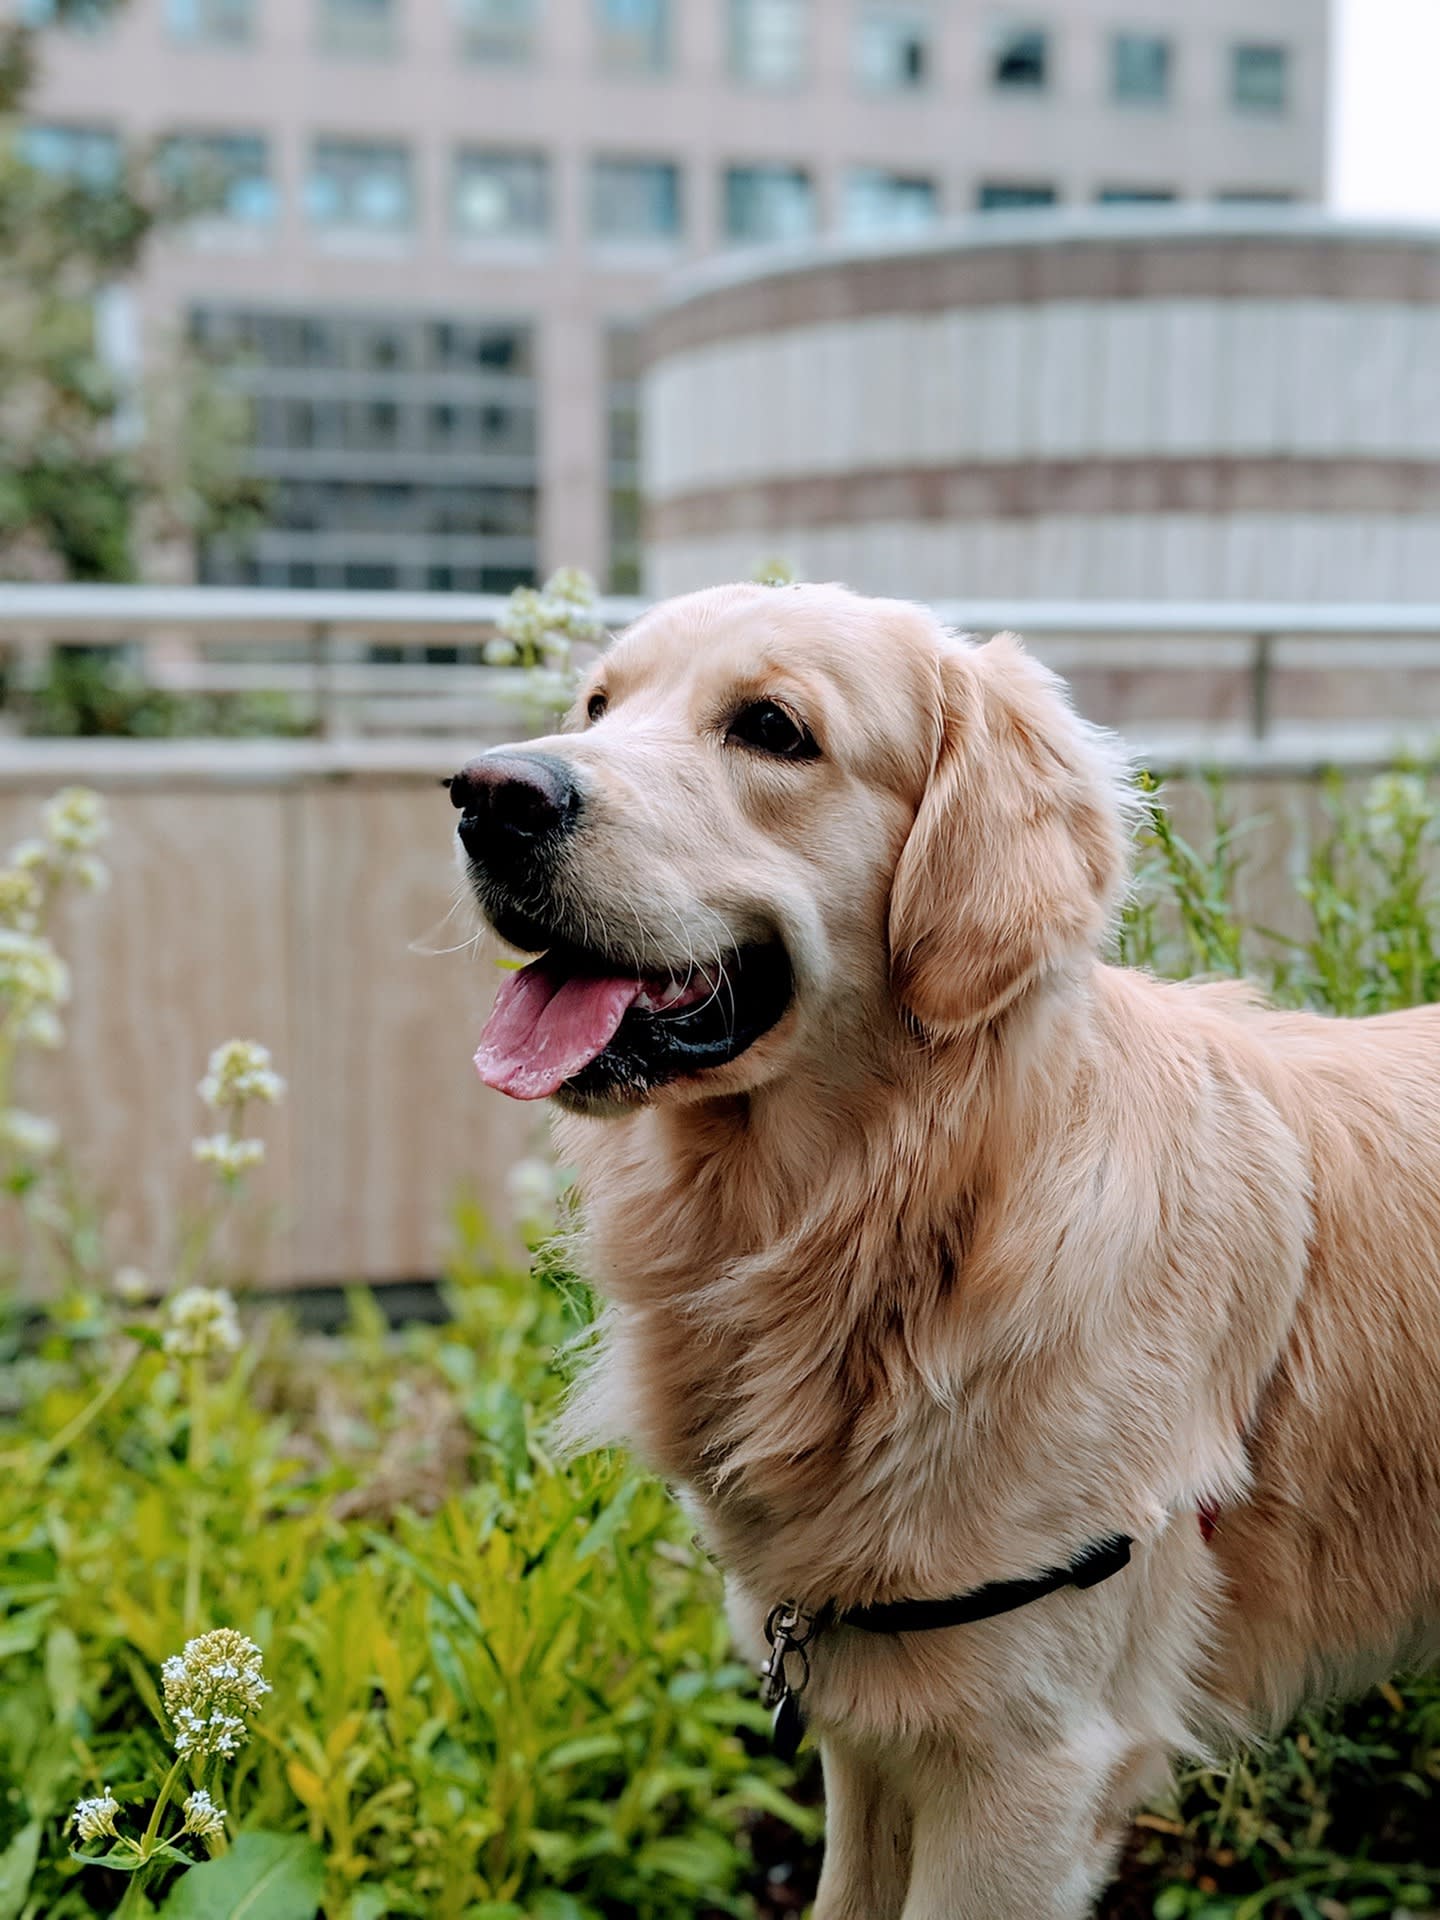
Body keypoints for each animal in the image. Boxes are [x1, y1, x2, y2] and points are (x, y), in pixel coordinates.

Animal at [449, 583, 1440, 1920]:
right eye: (597, 705)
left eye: (773, 728)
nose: (487, 794)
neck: (912, 1221)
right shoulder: (870, 1711)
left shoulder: (1029, 1768)